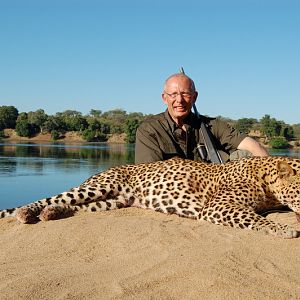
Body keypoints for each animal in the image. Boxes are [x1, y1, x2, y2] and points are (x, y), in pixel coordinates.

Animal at [0, 156, 300, 238]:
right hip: (100, 186)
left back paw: (51, 214)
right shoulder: (217, 206)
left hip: (111, 201)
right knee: (54, 197)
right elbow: (255, 219)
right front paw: (283, 230)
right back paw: (27, 212)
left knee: (72, 206)